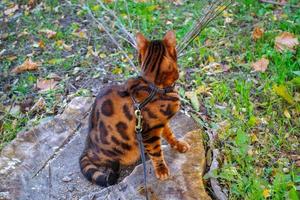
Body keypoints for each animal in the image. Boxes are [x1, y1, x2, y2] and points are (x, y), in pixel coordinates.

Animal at [79, 30, 190, 186]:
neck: (154, 84)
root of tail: (86, 148)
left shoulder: (161, 123)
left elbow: (170, 134)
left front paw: (178, 145)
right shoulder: (149, 132)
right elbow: (156, 153)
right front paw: (161, 170)